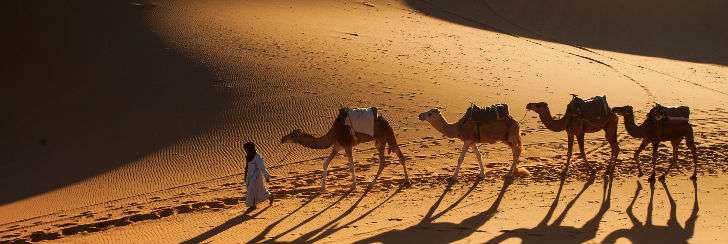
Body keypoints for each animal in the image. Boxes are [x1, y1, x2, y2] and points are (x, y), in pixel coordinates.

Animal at [282, 107, 410, 191]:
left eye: (292, 135)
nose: (282, 139)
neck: (334, 133)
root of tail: (386, 121)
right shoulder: (337, 146)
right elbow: (325, 163)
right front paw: (322, 186)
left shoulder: (347, 145)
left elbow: (351, 164)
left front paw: (353, 185)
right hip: (380, 141)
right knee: (383, 161)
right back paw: (372, 184)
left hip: (388, 134)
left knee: (399, 155)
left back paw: (407, 181)